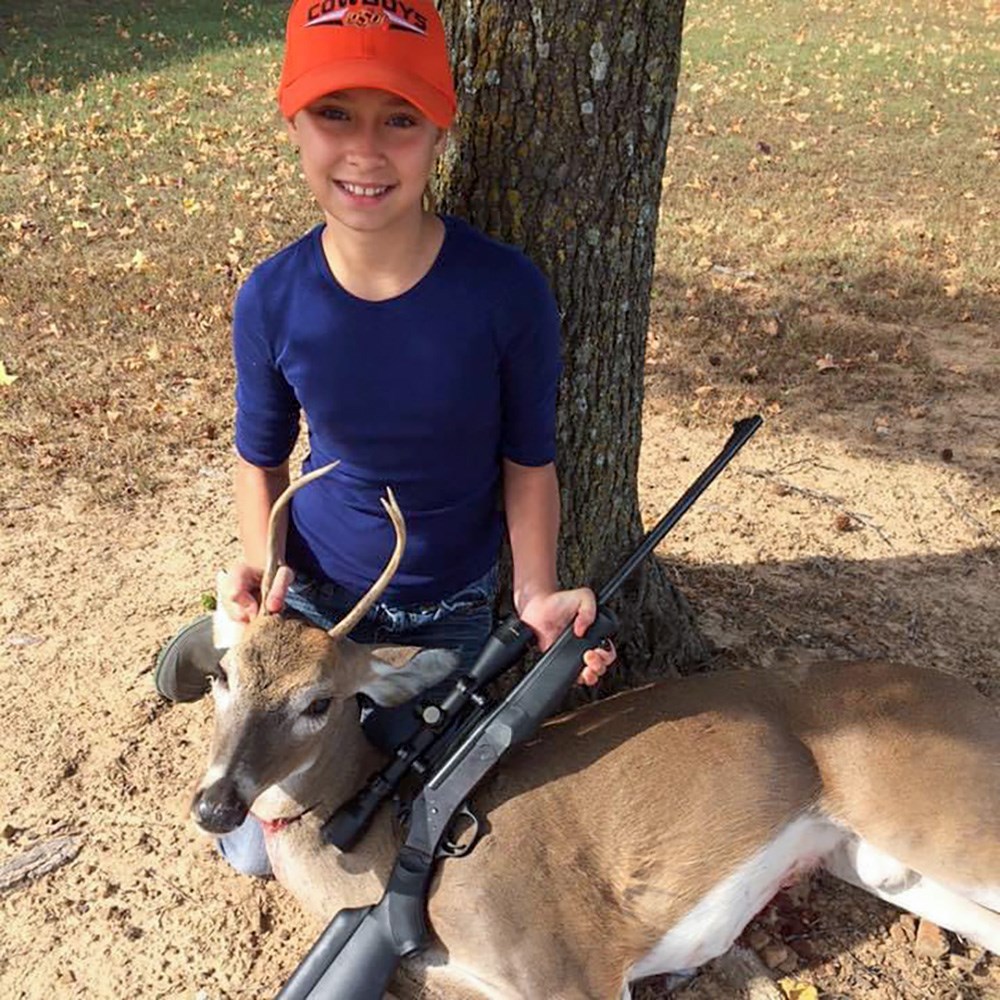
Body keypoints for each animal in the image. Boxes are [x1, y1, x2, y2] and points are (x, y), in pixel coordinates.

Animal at [189, 472, 1000, 996]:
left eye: (320, 701)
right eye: (223, 675)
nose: (216, 805)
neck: (380, 850)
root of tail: (976, 702)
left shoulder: (567, 961)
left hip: (945, 815)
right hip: (874, 861)